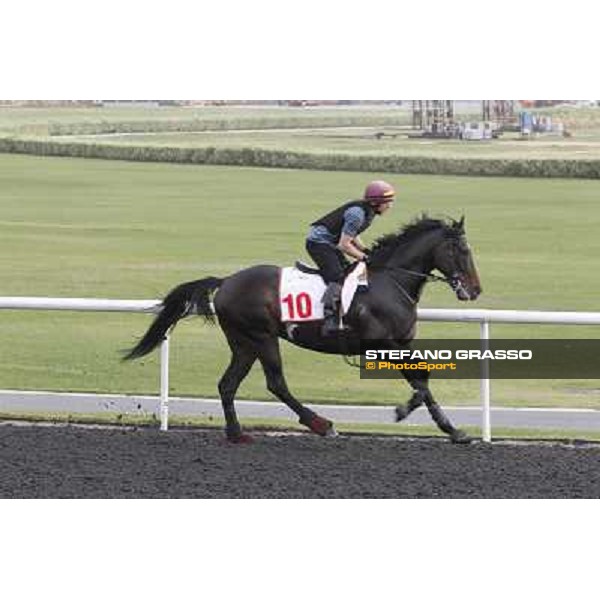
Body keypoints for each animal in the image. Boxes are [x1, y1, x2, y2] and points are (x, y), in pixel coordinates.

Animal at [126, 216, 482, 446]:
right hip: (262, 337)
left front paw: (453, 431)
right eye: (464, 251)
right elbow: (421, 379)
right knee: (276, 383)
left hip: (243, 343)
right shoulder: (381, 342)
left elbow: (422, 378)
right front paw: (406, 412)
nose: (475, 290)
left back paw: (237, 433)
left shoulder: (401, 343)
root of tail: (226, 281)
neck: (389, 280)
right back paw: (321, 424)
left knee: (227, 384)